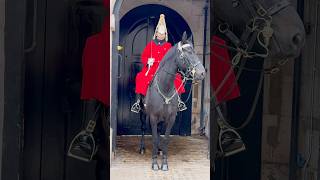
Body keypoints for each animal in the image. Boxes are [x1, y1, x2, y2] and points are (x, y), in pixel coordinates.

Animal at [141, 31, 206, 171]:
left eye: (194, 51)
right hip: (143, 115)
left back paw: (159, 150)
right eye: (187, 53)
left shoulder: (170, 118)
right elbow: (154, 138)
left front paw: (164, 163)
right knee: (143, 128)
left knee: (159, 132)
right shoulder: (153, 117)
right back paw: (142, 148)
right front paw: (155, 163)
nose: (202, 73)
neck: (165, 88)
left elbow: (165, 139)